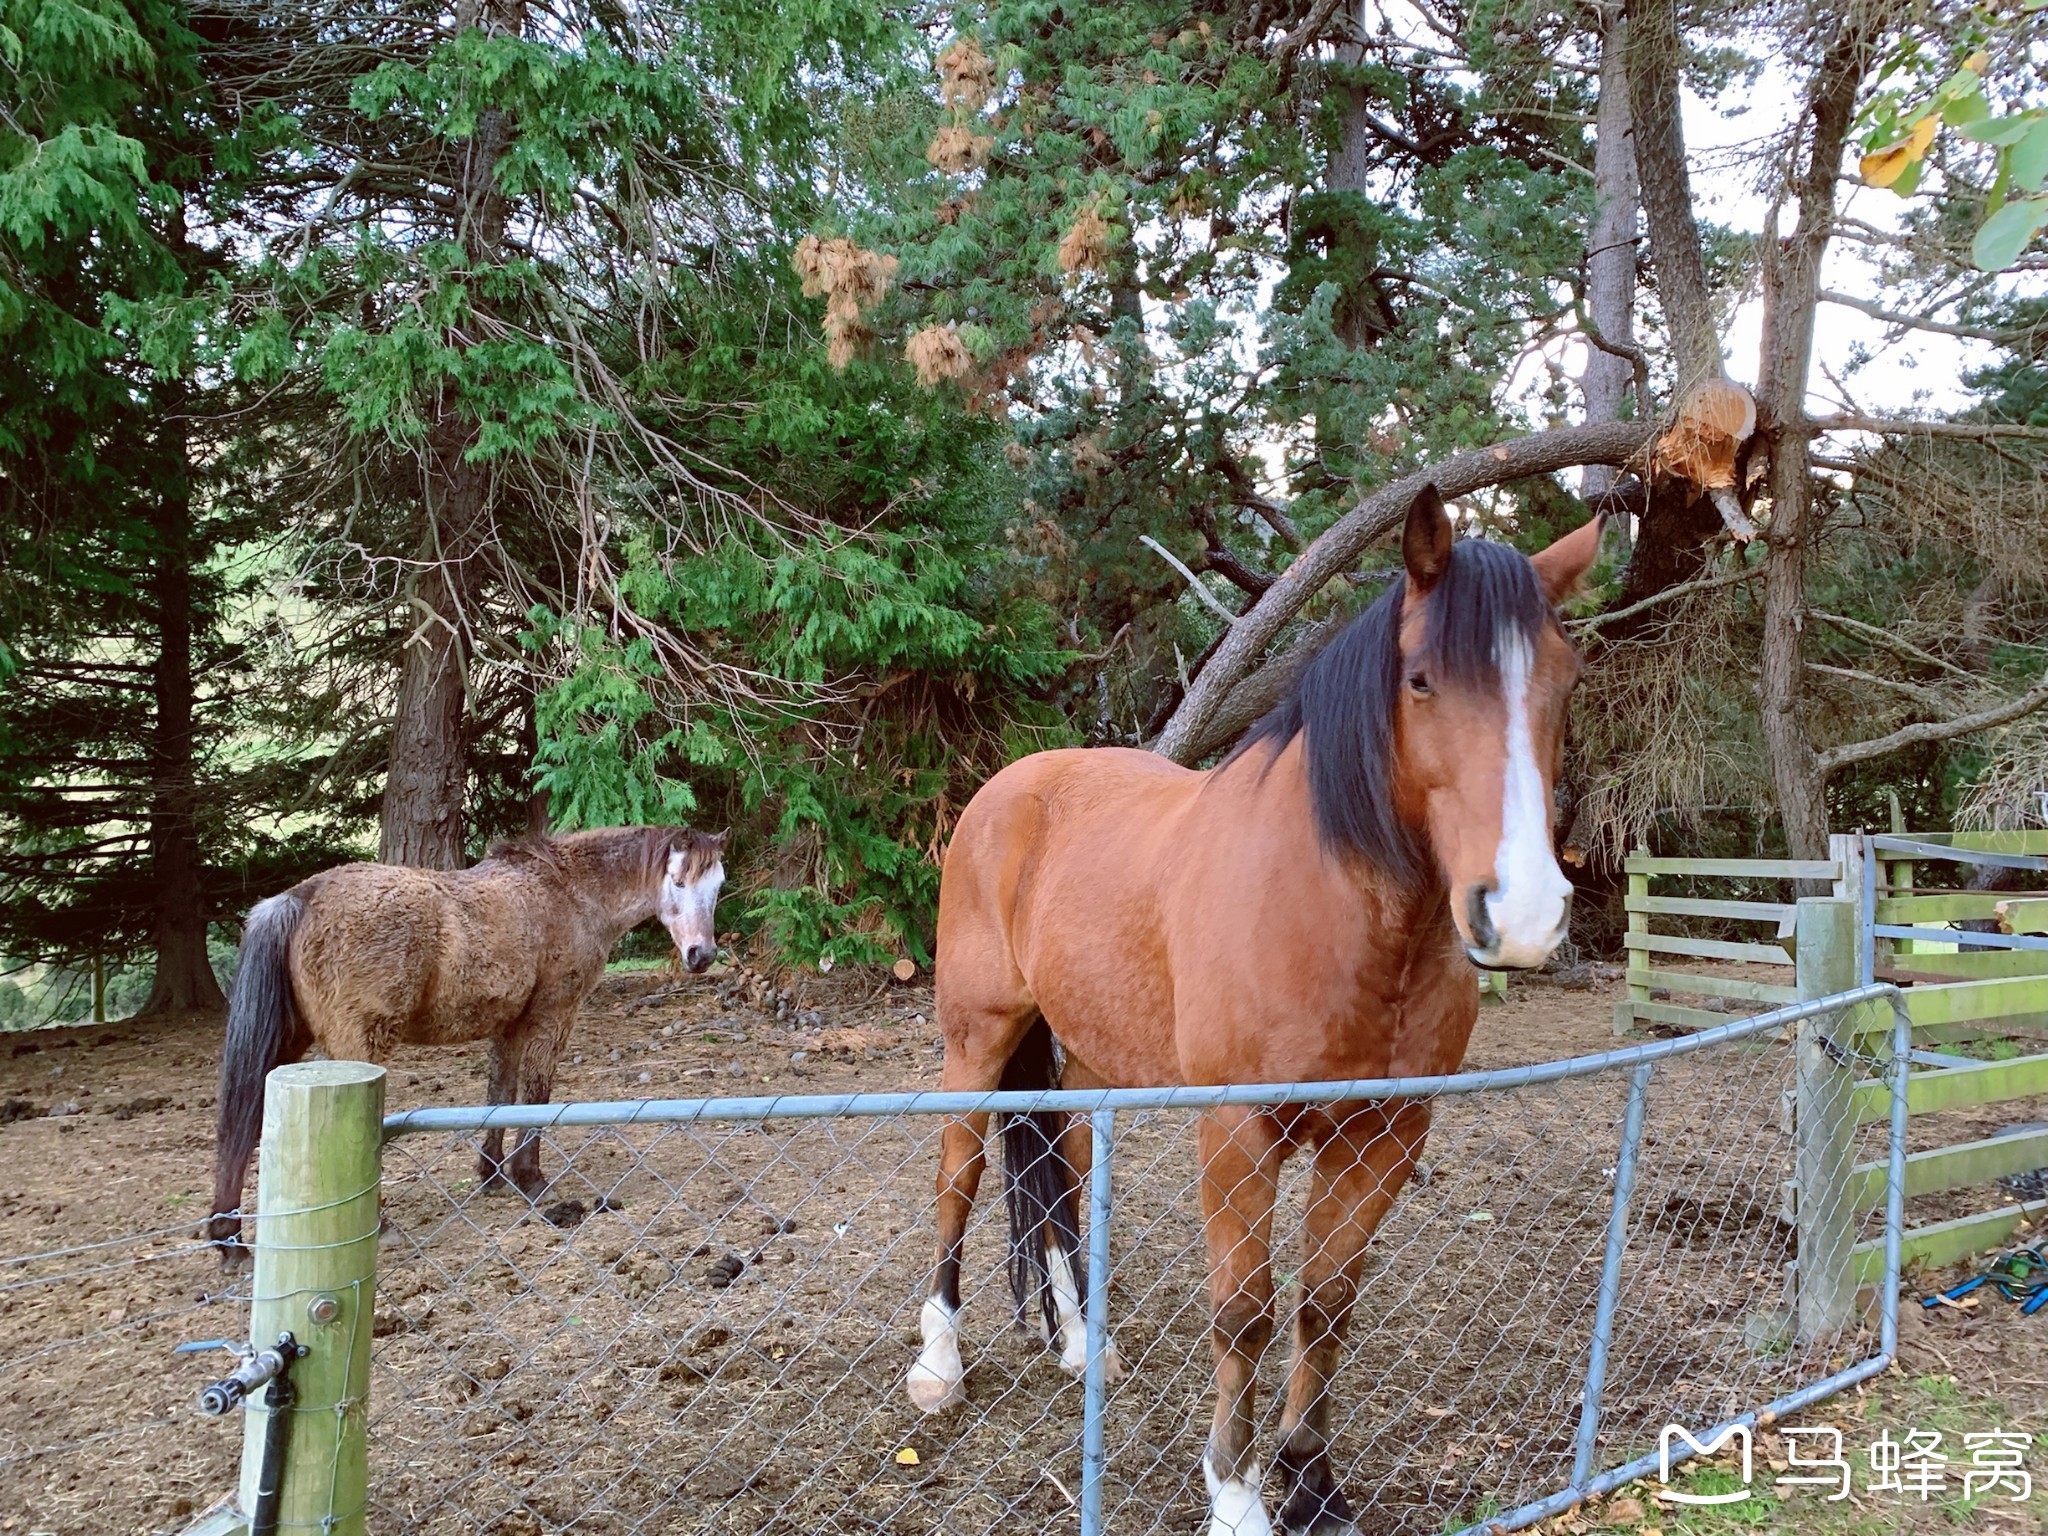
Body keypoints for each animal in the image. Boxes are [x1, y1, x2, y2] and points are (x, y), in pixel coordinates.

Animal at [211, 823, 724, 1253]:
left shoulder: (509, 1026)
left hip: (288, 1045)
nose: (701, 955)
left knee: (244, 1125)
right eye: (678, 882)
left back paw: (229, 1241)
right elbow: (535, 1093)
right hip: (354, 1052)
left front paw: (492, 1174)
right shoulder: (552, 1017)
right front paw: (529, 1178)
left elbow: (501, 1094)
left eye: (717, 886)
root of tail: (301, 896)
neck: (568, 893)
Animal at [909, 489, 1597, 1536]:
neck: (1330, 913)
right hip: (977, 1040)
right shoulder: (1237, 1132)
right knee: (961, 1176)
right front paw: (1237, 1495)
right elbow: (1246, 1313)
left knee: (1063, 1174)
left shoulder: (1383, 1136)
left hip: (1094, 1059)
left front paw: (1312, 1482)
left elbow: (1326, 1303)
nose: (1520, 913)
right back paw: (938, 1362)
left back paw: (1084, 1345)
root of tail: (1008, 789)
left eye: (1562, 681)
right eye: (1422, 680)